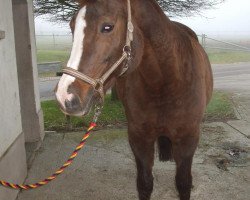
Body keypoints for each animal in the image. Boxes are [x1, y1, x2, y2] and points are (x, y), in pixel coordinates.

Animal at [55, 0, 213, 199]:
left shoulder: (188, 138)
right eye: (71, 26)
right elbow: (144, 184)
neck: (164, 86)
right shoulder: (139, 137)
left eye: (107, 27)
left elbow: (183, 183)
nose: (65, 96)